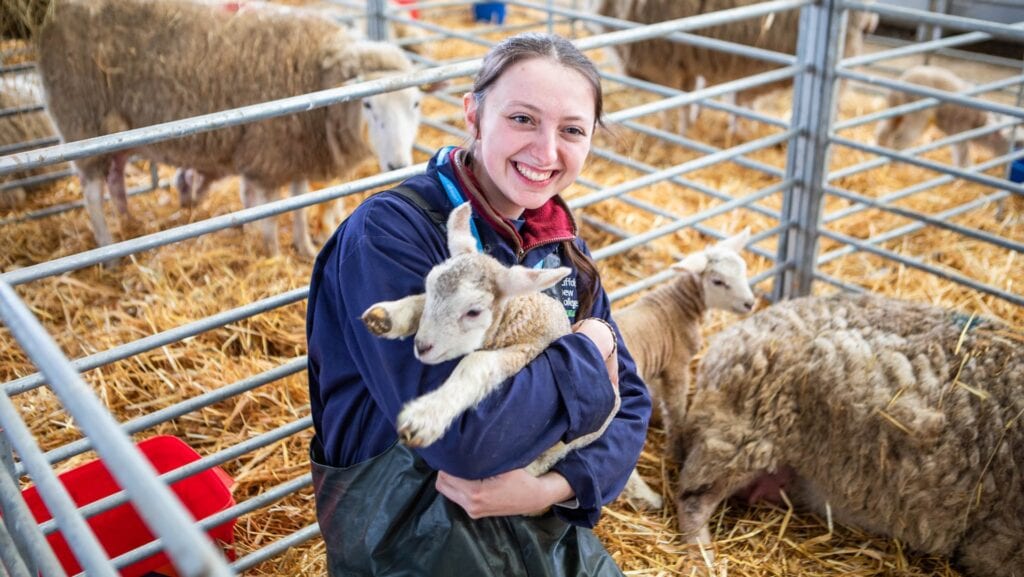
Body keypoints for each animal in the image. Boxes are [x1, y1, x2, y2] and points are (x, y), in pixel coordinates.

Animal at [37, 0, 431, 258]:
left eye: (416, 105)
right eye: (368, 105)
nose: (397, 165)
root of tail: (54, 14)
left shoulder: (294, 153)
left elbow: (301, 204)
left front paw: (304, 247)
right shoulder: (269, 156)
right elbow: (271, 213)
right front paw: (273, 254)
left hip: (114, 133)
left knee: (115, 177)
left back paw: (128, 222)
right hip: (81, 121)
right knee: (91, 192)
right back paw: (108, 248)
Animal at [361, 203, 620, 478]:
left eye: (474, 312)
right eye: (429, 286)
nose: (422, 346)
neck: (516, 314)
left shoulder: (527, 350)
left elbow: (476, 363)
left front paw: (425, 417)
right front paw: (389, 316)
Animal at [613, 229, 755, 510]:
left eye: (744, 270)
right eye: (717, 281)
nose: (749, 303)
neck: (678, 305)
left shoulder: (658, 367)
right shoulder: (677, 365)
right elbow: (676, 408)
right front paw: (677, 450)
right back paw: (649, 499)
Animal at [875, 65, 1012, 168]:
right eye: (1014, 144)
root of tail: (902, 80)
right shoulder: (960, 130)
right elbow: (962, 152)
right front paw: (965, 170)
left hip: (896, 110)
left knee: (884, 130)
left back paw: (882, 151)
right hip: (918, 115)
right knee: (901, 139)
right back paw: (898, 165)